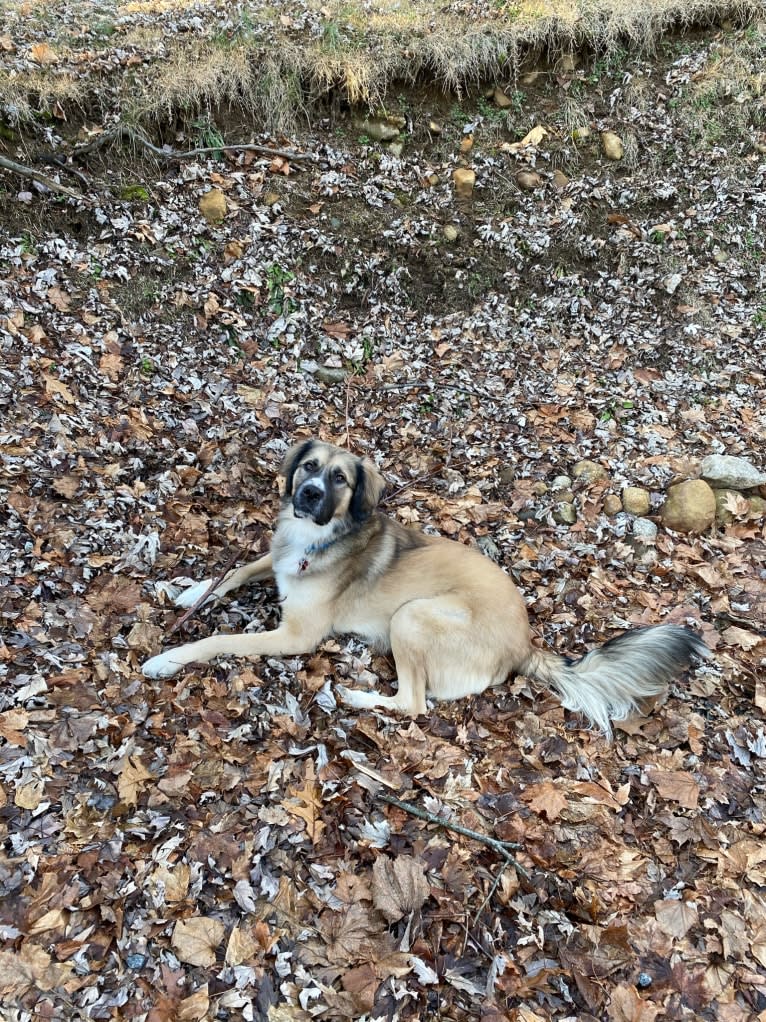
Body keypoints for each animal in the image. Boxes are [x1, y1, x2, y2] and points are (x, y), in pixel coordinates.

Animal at [142, 439, 706, 735]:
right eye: (309, 467)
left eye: (341, 479)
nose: (309, 493)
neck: (318, 539)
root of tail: (524, 644)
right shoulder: (278, 559)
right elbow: (237, 571)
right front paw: (191, 590)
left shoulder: (295, 636)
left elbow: (220, 639)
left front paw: (168, 659)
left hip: (411, 616)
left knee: (413, 703)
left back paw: (354, 696)